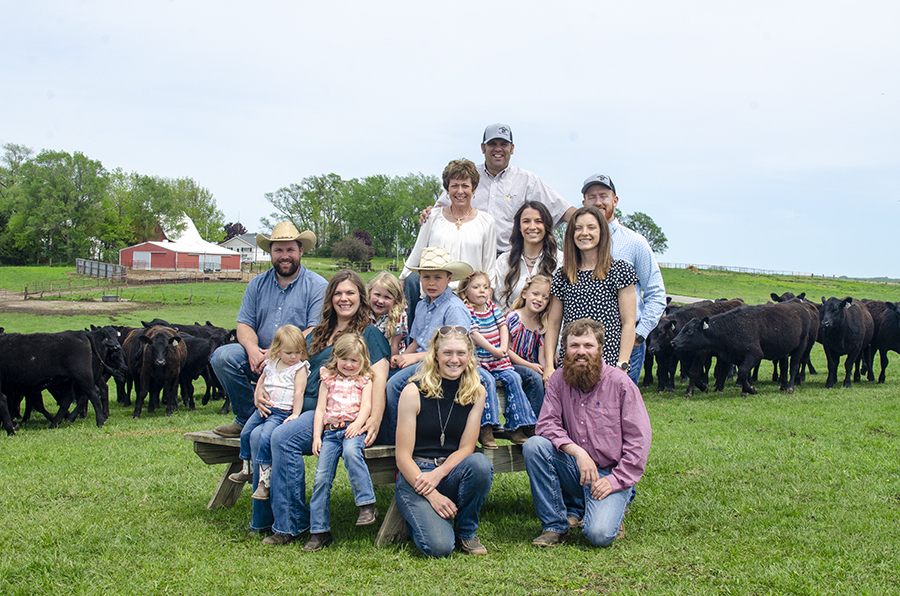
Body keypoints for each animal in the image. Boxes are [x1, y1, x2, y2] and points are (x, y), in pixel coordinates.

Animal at [672, 302, 812, 396]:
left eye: (689, 331)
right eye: (683, 328)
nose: (673, 342)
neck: (732, 327)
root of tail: (802, 308)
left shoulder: (755, 354)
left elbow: (743, 372)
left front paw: (751, 390)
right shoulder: (738, 356)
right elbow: (745, 373)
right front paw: (746, 390)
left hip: (800, 347)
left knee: (794, 366)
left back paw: (790, 388)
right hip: (783, 351)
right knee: (784, 366)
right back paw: (783, 386)